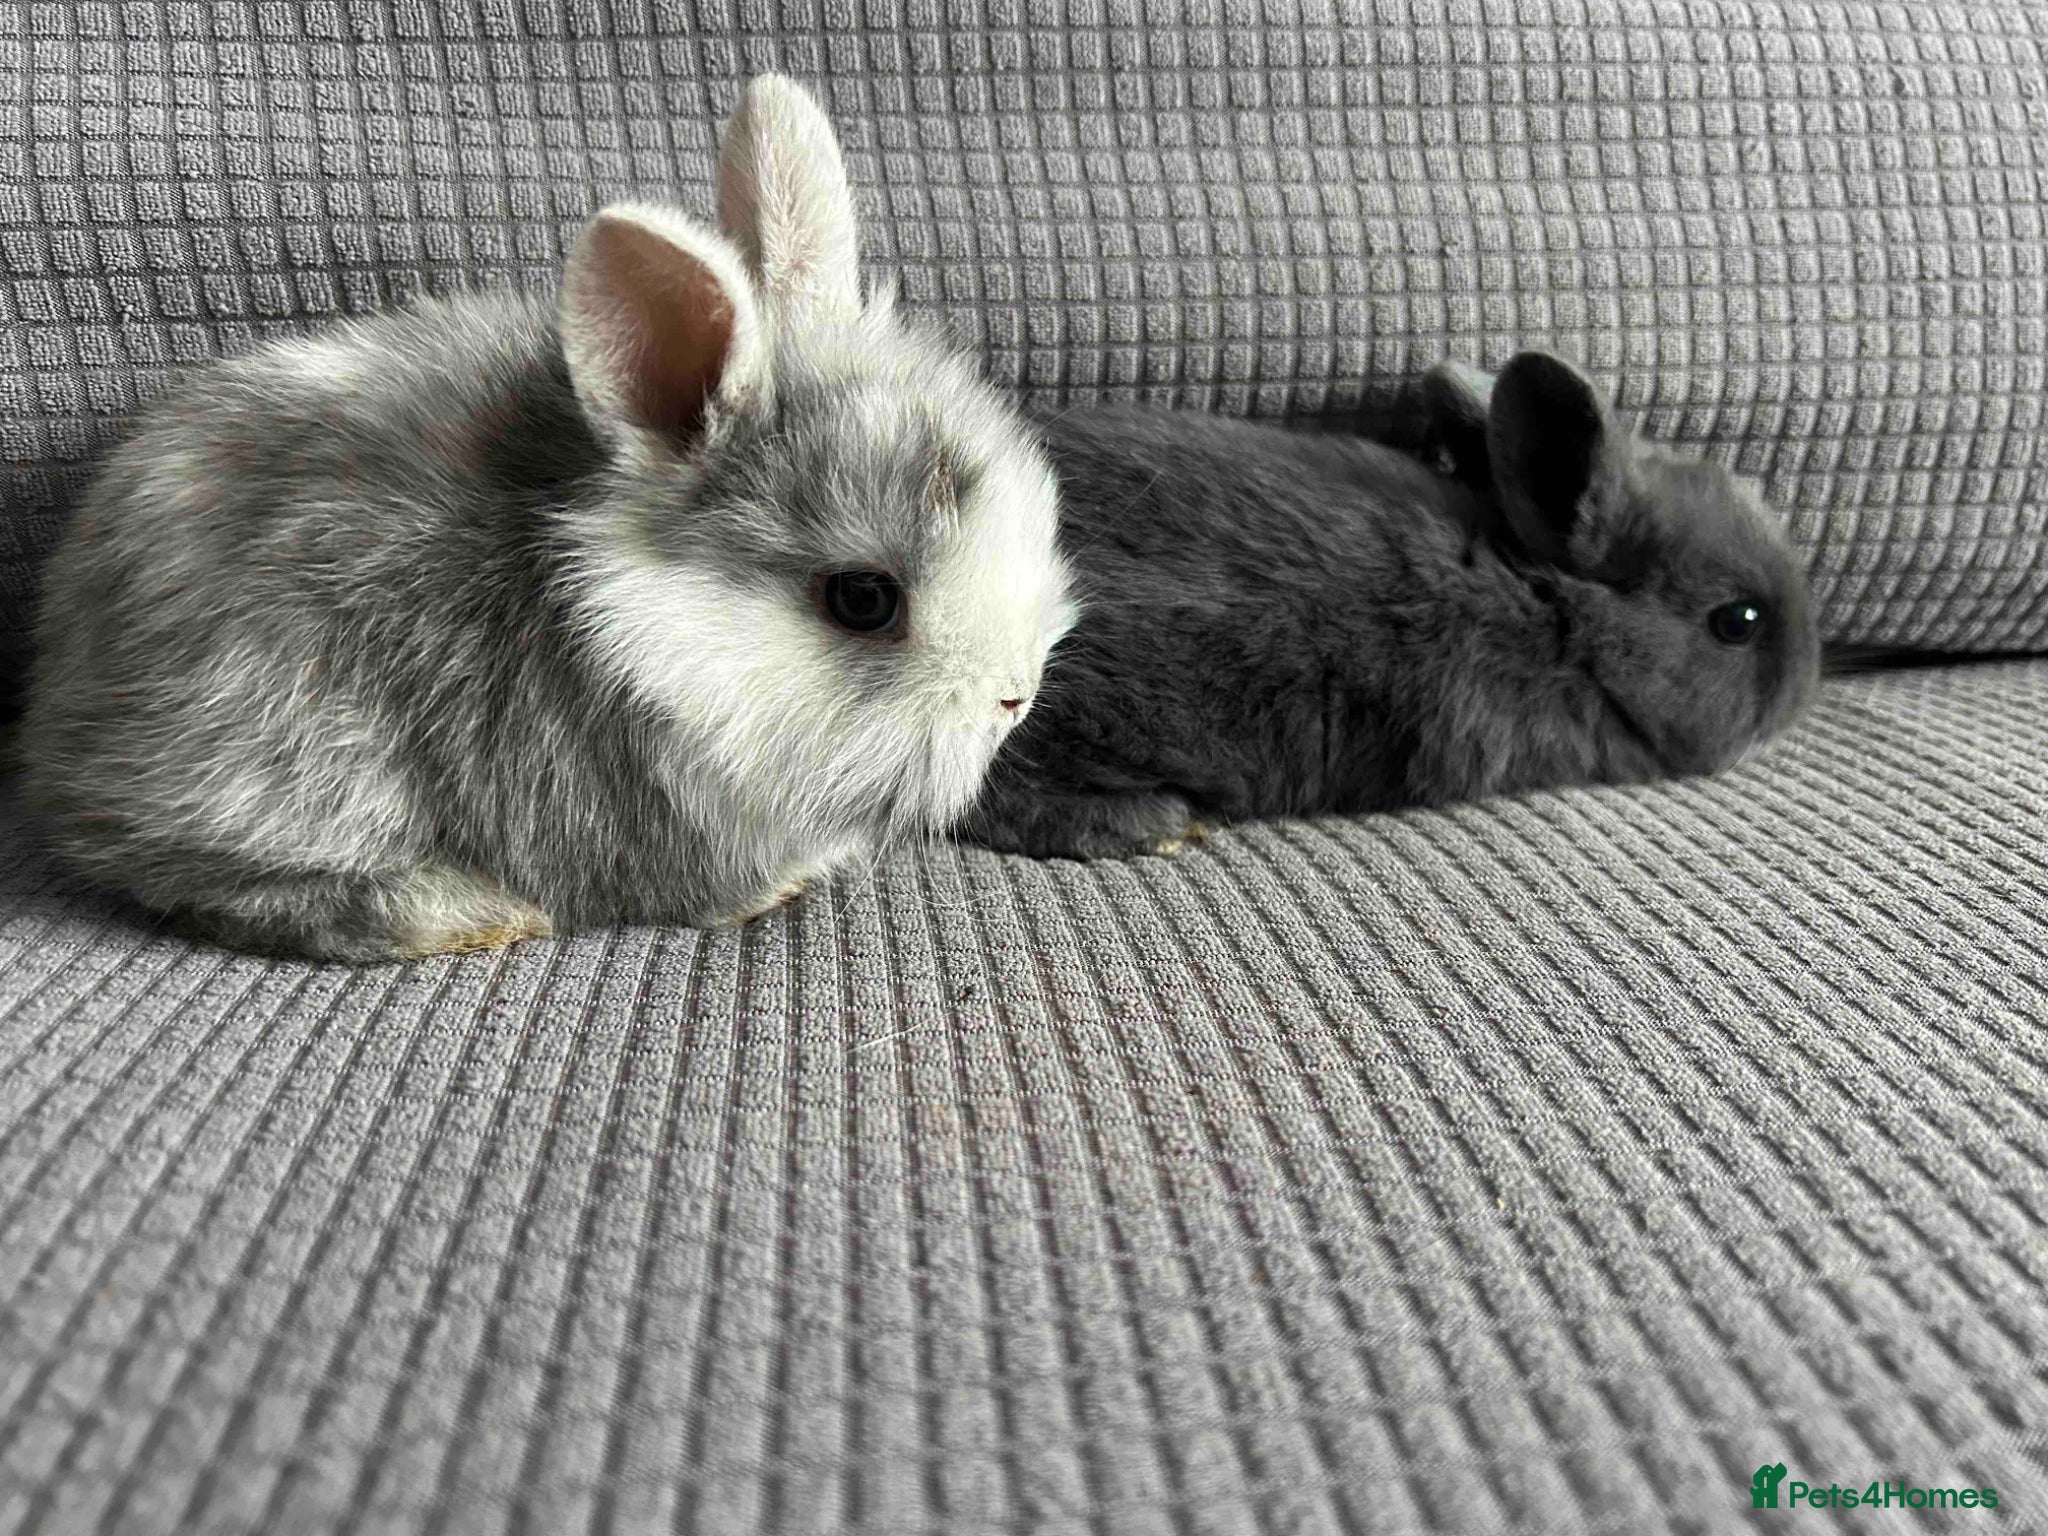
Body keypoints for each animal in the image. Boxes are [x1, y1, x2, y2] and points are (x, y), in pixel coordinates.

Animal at [21, 75, 1074, 961]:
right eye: (863, 599)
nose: (1016, 698)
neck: (643, 632)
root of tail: (63, 714)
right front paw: (784, 886)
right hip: (288, 759)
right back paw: (470, 913)